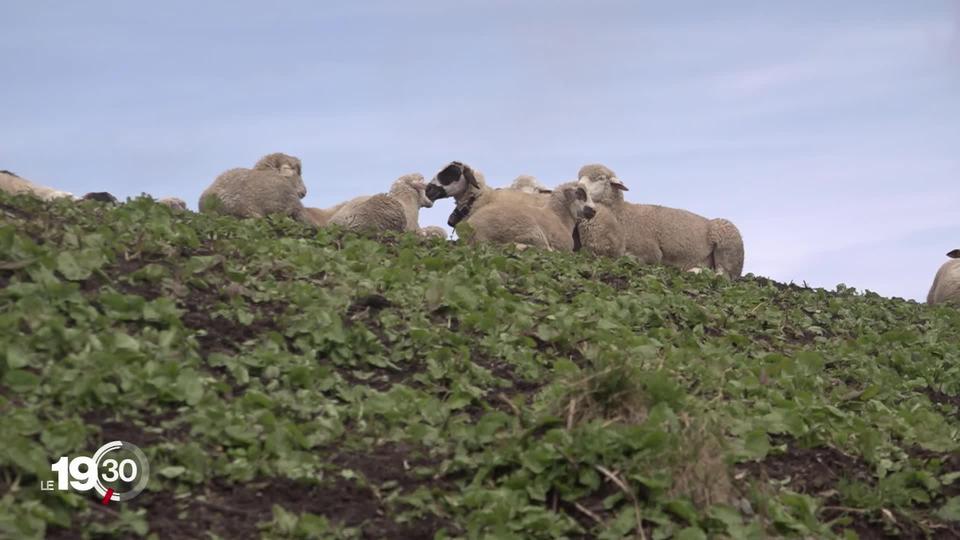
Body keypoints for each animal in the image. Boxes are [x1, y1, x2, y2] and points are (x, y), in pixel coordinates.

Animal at [572, 162, 748, 276]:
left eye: (600, 178)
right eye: (579, 177)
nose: (577, 189)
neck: (620, 213)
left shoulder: (650, 252)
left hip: (728, 245)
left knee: (724, 275)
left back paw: (695, 270)